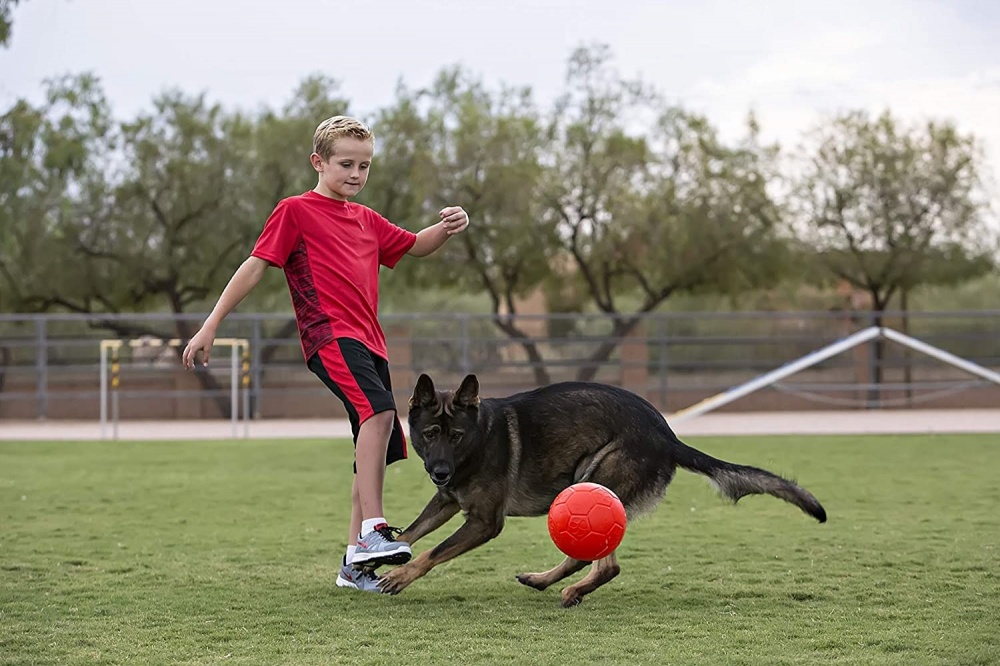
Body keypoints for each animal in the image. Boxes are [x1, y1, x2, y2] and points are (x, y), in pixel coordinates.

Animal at [376, 370, 828, 604]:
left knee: (604, 564)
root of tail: (668, 435)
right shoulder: (446, 501)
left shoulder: (484, 522)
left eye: (456, 437)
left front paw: (400, 576)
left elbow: (433, 552)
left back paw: (569, 589)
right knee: (593, 560)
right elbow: (411, 533)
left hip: (591, 482)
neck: (480, 439)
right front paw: (377, 557)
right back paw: (545, 581)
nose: (439, 471)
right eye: (430, 435)